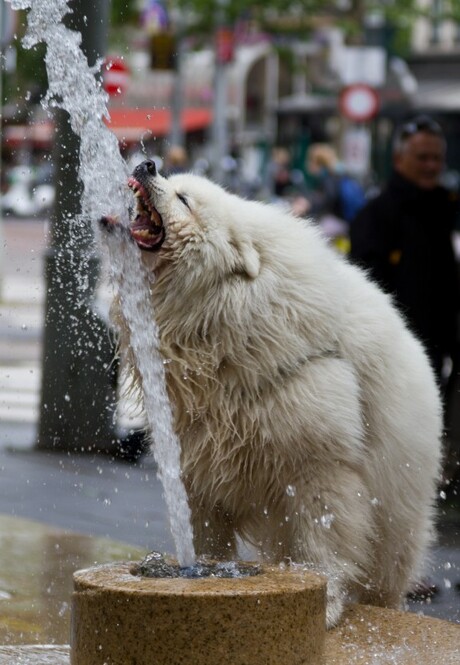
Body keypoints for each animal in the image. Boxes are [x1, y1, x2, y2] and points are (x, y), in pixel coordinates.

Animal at [99, 158, 442, 624]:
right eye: (174, 180)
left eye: (184, 199)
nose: (148, 163)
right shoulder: (196, 444)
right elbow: (204, 521)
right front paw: (202, 572)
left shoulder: (316, 445)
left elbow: (325, 521)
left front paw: (325, 602)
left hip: (400, 488)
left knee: (389, 564)